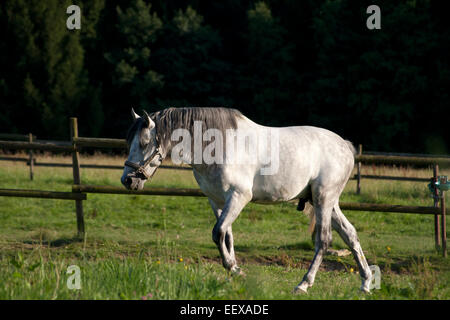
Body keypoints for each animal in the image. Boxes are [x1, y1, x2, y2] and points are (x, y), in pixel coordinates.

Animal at [121, 107, 370, 292]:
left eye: (144, 143)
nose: (127, 180)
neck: (218, 145)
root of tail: (345, 146)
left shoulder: (239, 196)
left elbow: (218, 233)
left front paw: (234, 269)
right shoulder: (217, 201)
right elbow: (226, 236)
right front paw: (233, 273)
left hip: (323, 199)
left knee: (324, 241)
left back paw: (304, 284)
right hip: (328, 203)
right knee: (350, 234)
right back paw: (365, 283)